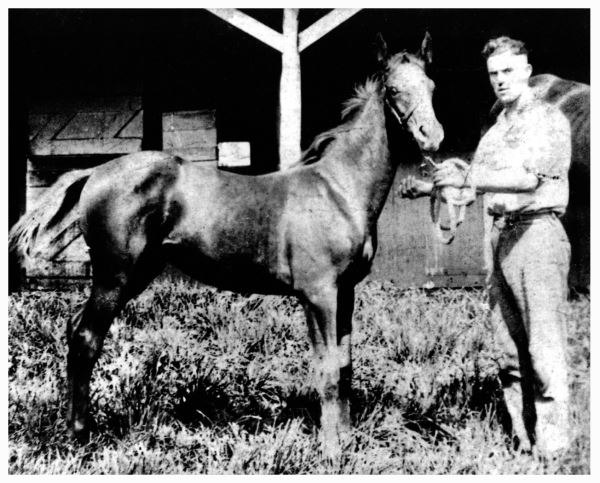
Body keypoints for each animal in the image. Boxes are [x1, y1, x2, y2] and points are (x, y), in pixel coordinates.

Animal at [7, 33, 442, 458]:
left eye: (432, 85)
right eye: (392, 89)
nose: (432, 137)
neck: (337, 188)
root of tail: (95, 171)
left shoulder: (345, 292)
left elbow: (345, 365)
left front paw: (347, 441)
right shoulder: (318, 294)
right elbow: (330, 369)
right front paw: (332, 453)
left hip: (136, 274)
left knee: (75, 331)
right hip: (114, 278)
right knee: (85, 339)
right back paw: (79, 437)